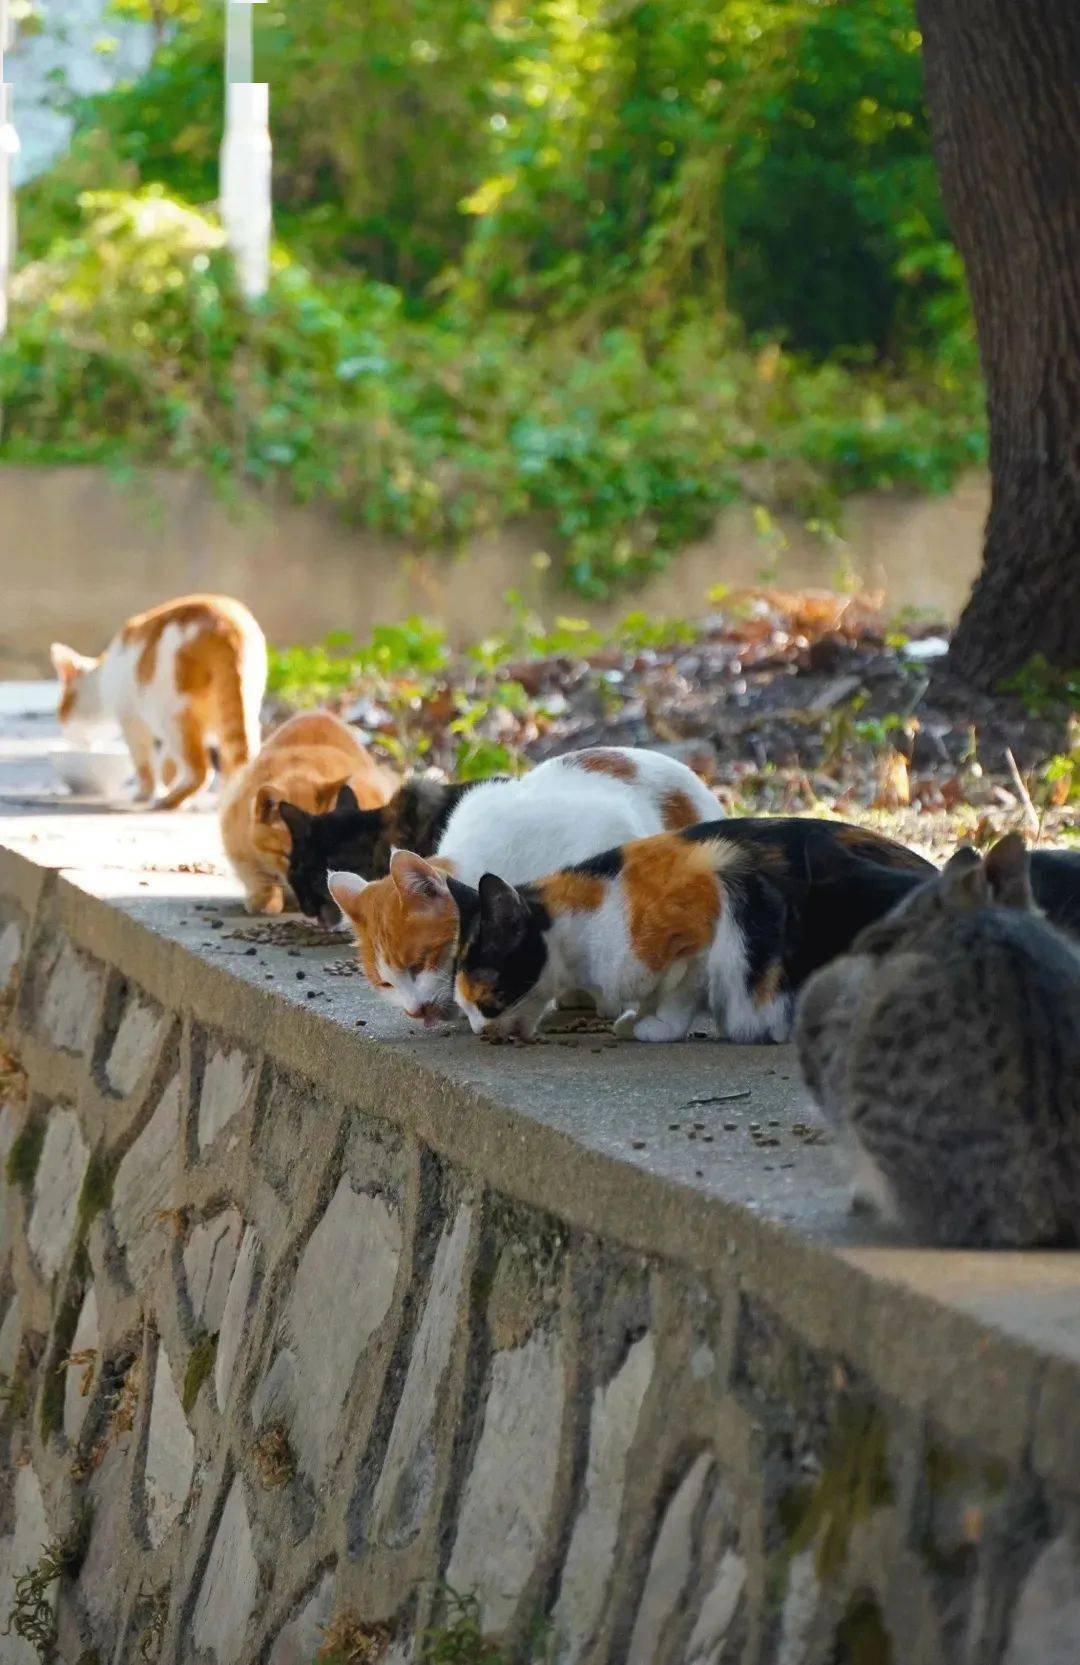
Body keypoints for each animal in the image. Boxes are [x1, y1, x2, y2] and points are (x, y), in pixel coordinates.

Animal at [51, 596, 267, 809]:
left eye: (61, 712)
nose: (62, 728)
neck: (103, 678)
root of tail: (227, 626)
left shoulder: (132, 721)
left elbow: (144, 764)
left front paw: (147, 792)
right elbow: (167, 765)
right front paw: (162, 786)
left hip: (175, 713)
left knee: (201, 771)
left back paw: (169, 801)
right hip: (241, 714)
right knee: (242, 761)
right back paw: (222, 802)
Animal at [449, 819, 931, 1038]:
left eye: (487, 999)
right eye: (464, 1006)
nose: (478, 1031)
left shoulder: (707, 920)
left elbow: (681, 992)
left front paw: (652, 1026)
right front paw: (633, 1017)